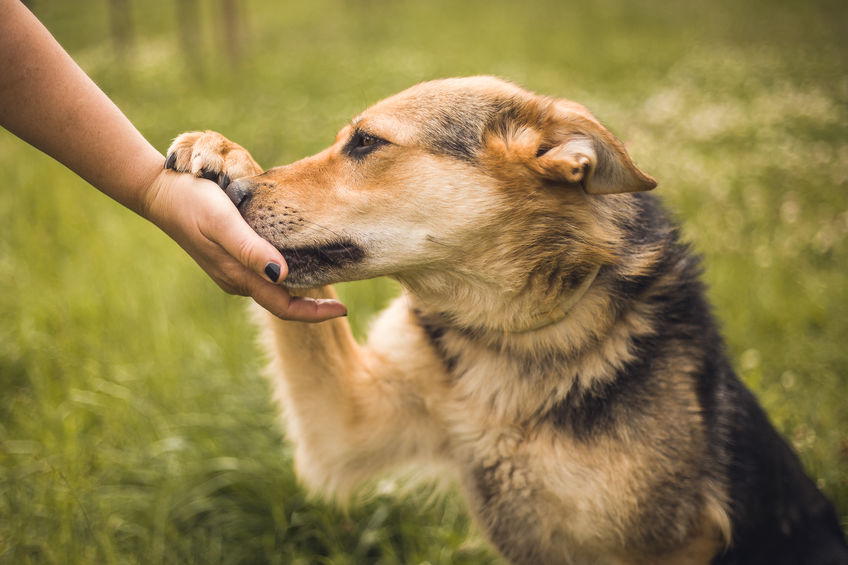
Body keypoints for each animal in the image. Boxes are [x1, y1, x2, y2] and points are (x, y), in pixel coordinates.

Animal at [167, 76, 848, 564]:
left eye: (366, 143)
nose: (236, 198)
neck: (511, 337)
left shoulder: (674, 544)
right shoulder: (344, 428)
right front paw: (222, 154)